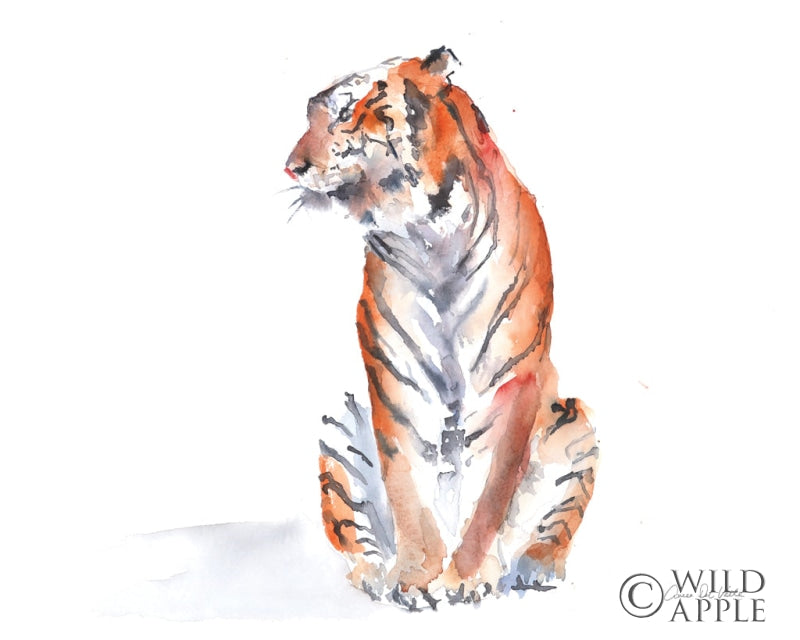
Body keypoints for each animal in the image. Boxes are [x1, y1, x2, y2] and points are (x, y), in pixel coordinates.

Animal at [285, 47, 598, 609]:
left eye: (344, 112)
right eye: (310, 116)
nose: (291, 166)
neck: (430, 242)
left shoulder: (513, 381)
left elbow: (491, 494)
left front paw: (465, 579)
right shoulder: (395, 380)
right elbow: (407, 488)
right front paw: (416, 578)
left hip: (575, 422)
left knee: (550, 530)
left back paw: (534, 569)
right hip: (338, 425)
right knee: (354, 535)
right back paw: (375, 575)